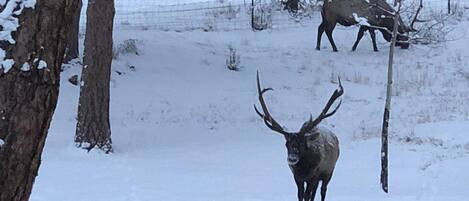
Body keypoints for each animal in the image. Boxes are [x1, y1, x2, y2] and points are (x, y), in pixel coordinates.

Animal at [254, 72, 342, 201]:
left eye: (301, 143)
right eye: (286, 144)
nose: (291, 159)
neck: (304, 169)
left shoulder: (314, 175)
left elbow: (307, 195)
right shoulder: (297, 177)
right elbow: (301, 195)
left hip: (329, 171)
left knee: (323, 191)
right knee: (315, 192)